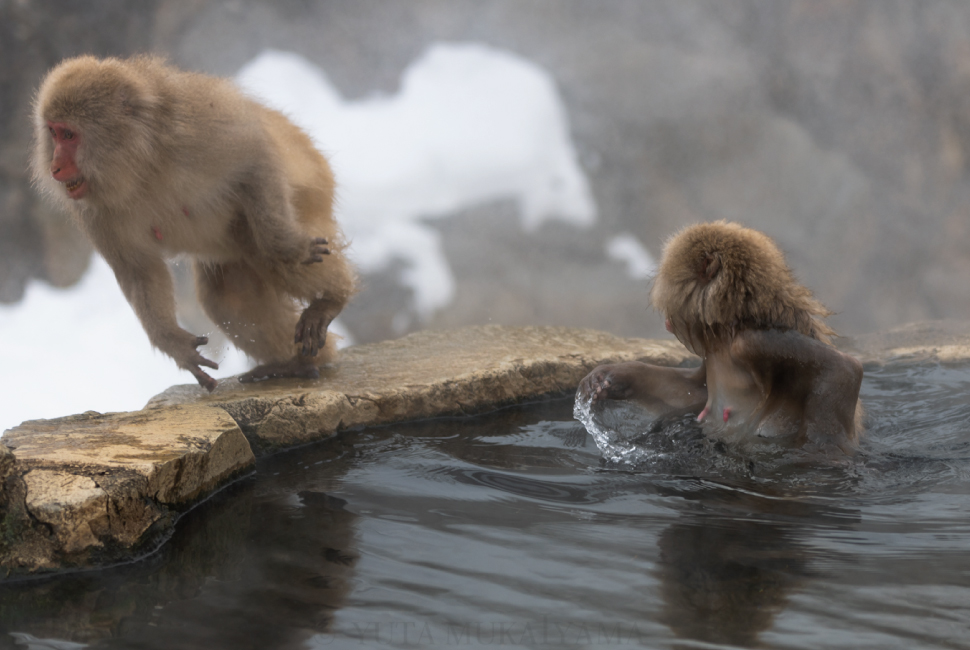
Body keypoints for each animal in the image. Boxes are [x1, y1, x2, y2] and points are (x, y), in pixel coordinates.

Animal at [30, 55, 358, 390]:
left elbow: (255, 157)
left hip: (309, 195)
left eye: (69, 135)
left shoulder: (195, 130)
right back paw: (296, 363)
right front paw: (174, 344)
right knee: (228, 300)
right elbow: (139, 270)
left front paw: (286, 245)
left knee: (267, 249)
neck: (139, 164)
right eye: (53, 132)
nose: (55, 166)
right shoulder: (95, 212)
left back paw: (331, 299)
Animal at [576, 223, 864, 456]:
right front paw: (611, 377)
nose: (667, 320)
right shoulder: (713, 348)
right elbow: (692, 390)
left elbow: (845, 369)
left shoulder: (756, 343)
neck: (731, 329)